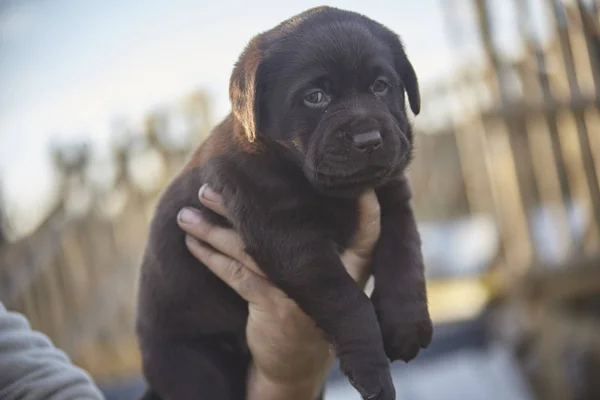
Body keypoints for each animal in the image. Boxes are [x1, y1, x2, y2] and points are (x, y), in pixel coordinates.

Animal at [137, 6, 432, 400]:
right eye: (316, 97)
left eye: (381, 86)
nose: (369, 139)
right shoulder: (287, 234)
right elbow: (348, 300)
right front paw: (371, 369)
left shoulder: (394, 200)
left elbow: (405, 256)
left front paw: (407, 326)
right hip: (193, 367)